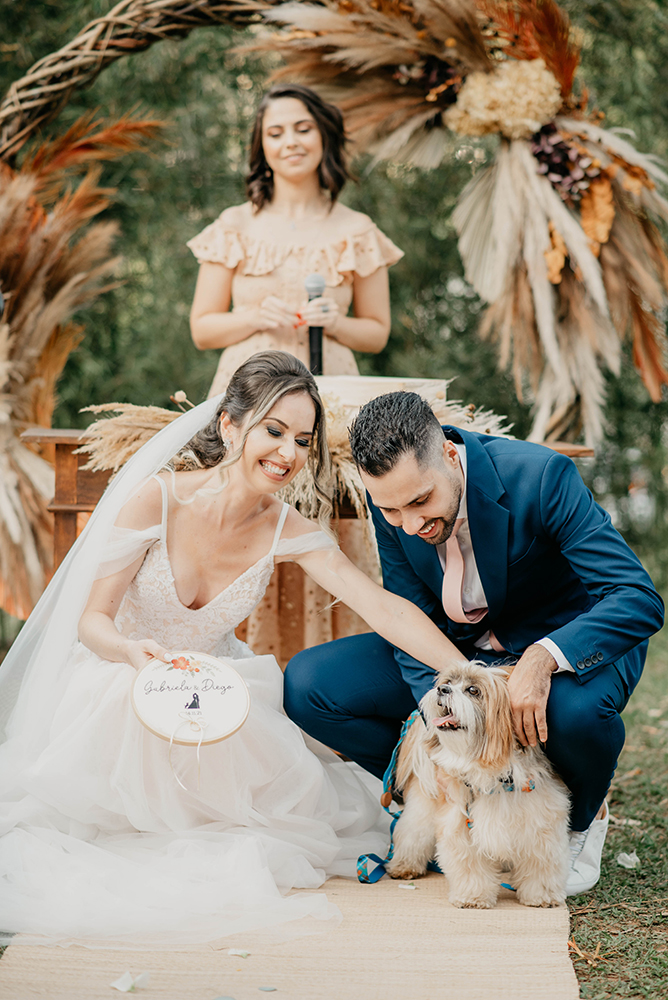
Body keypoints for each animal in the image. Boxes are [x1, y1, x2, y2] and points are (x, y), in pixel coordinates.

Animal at [386, 660, 568, 912]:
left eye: (473, 690)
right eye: (448, 682)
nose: (442, 689)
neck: (496, 776)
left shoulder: (541, 825)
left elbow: (541, 865)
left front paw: (541, 895)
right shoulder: (461, 826)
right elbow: (470, 867)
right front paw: (473, 897)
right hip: (423, 809)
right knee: (411, 832)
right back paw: (405, 865)